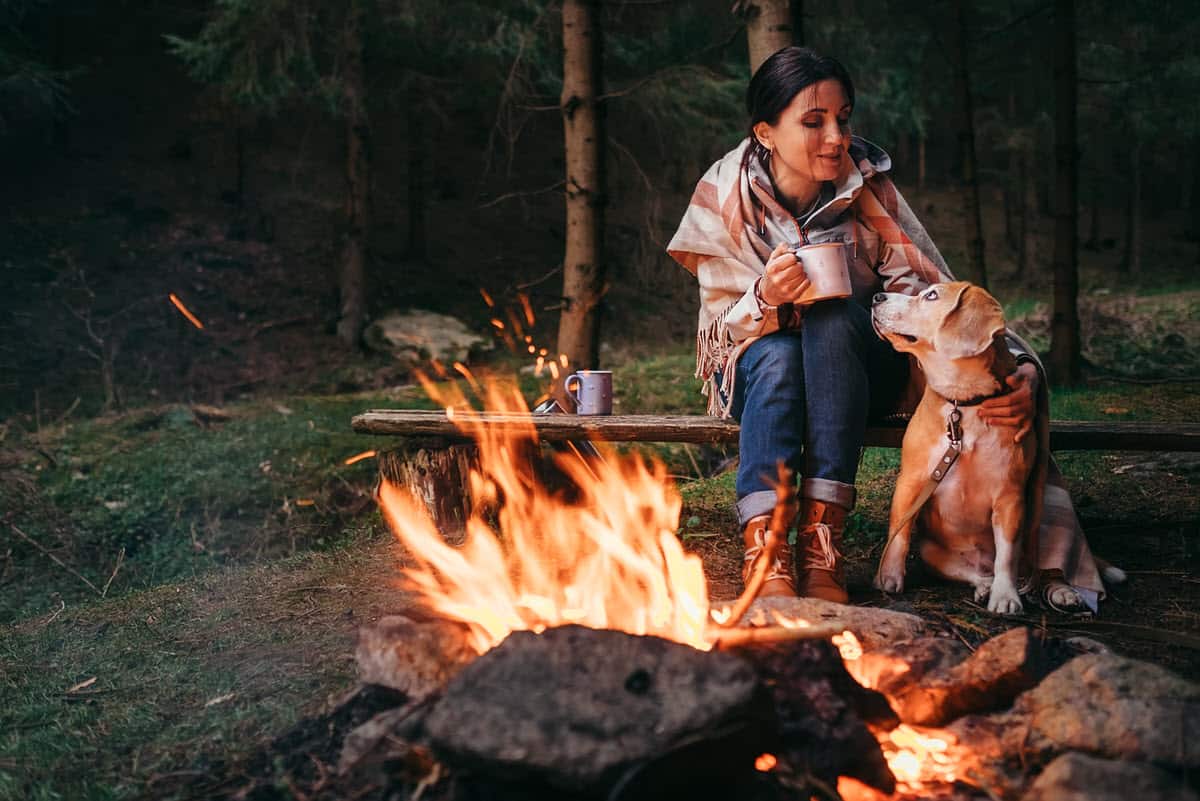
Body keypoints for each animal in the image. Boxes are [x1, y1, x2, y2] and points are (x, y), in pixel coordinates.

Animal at [868, 281, 1046, 613]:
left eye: (931, 296)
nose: (876, 297)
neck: (962, 403)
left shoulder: (1010, 496)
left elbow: (1007, 556)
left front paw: (1006, 596)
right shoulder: (911, 481)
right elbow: (899, 535)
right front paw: (888, 577)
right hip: (932, 553)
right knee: (972, 574)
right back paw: (983, 585)